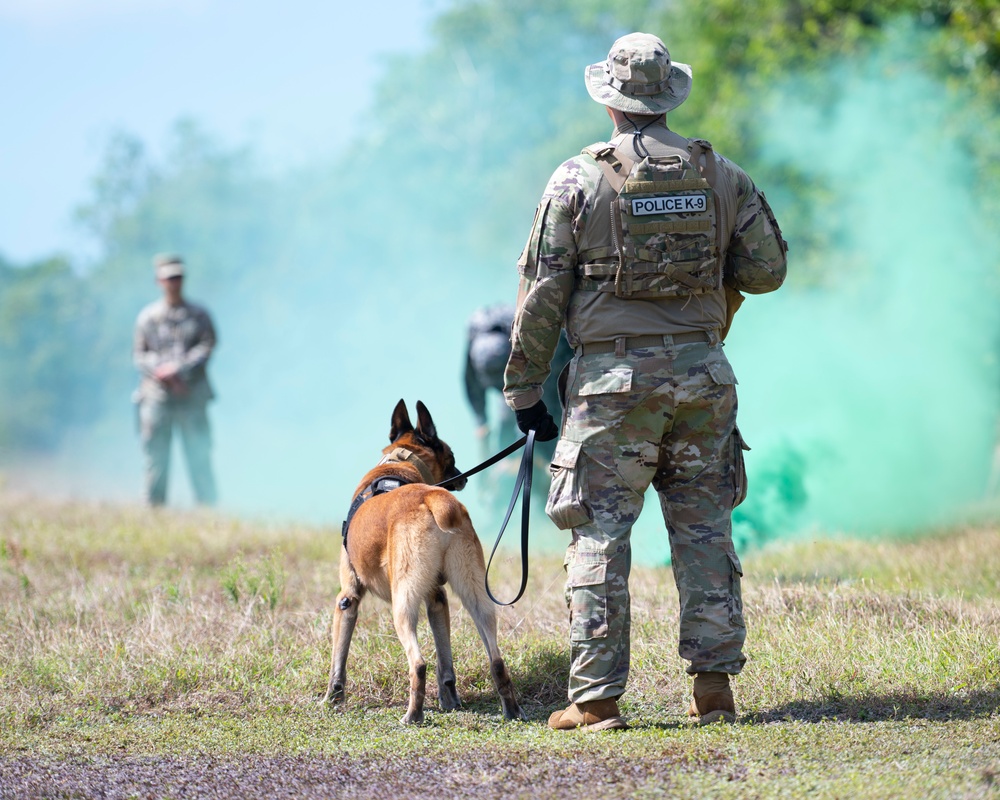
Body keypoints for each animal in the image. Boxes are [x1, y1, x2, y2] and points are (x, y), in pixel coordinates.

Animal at [324, 400, 524, 724]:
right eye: (451, 457)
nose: (463, 476)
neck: (400, 464)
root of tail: (432, 499)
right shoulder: (437, 597)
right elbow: (446, 663)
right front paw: (449, 700)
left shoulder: (348, 598)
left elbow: (337, 663)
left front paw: (332, 699)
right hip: (476, 595)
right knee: (496, 658)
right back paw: (512, 709)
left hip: (403, 603)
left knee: (418, 663)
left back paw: (412, 715)